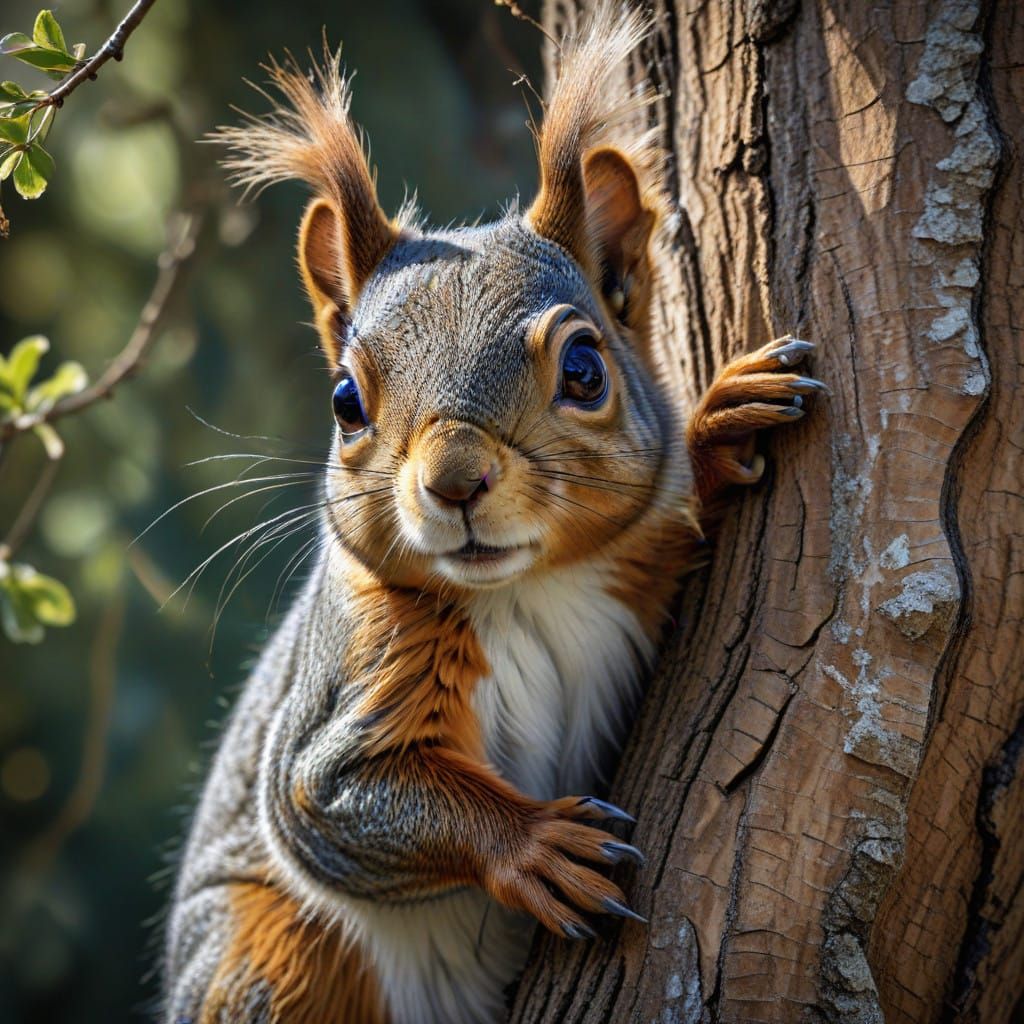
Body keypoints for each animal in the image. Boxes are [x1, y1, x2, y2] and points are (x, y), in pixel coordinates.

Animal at [162, 5, 821, 1023]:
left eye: (585, 369)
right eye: (346, 400)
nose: (455, 481)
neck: (527, 590)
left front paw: (719, 427)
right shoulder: (347, 684)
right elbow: (329, 793)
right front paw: (534, 847)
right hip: (264, 957)